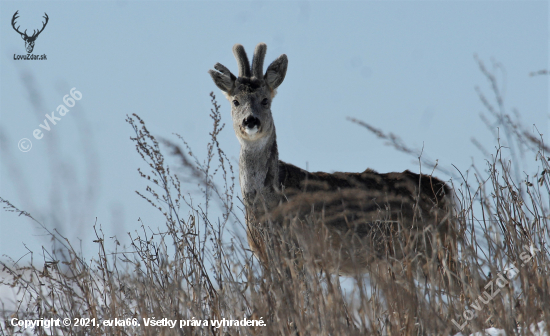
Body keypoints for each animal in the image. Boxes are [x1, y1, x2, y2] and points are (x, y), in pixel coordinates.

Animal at [209, 42, 460, 286]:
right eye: (235, 101)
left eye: (265, 100)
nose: (250, 121)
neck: (269, 197)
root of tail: (445, 191)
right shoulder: (268, 255)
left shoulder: (296, 250)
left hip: (430, 248)